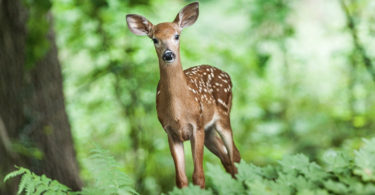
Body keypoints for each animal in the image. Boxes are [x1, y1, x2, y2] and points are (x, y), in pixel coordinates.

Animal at [126, 1, 241, 187]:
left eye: (177, 36)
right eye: (155, 39)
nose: (168, 54)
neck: (178, 111)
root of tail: (226, 74)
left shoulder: (197, 126)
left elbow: (199, 176)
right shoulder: (170, 132)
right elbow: (181, 179)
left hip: (223, 116)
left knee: (234, 155)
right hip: (209, 130)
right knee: (227, 159)